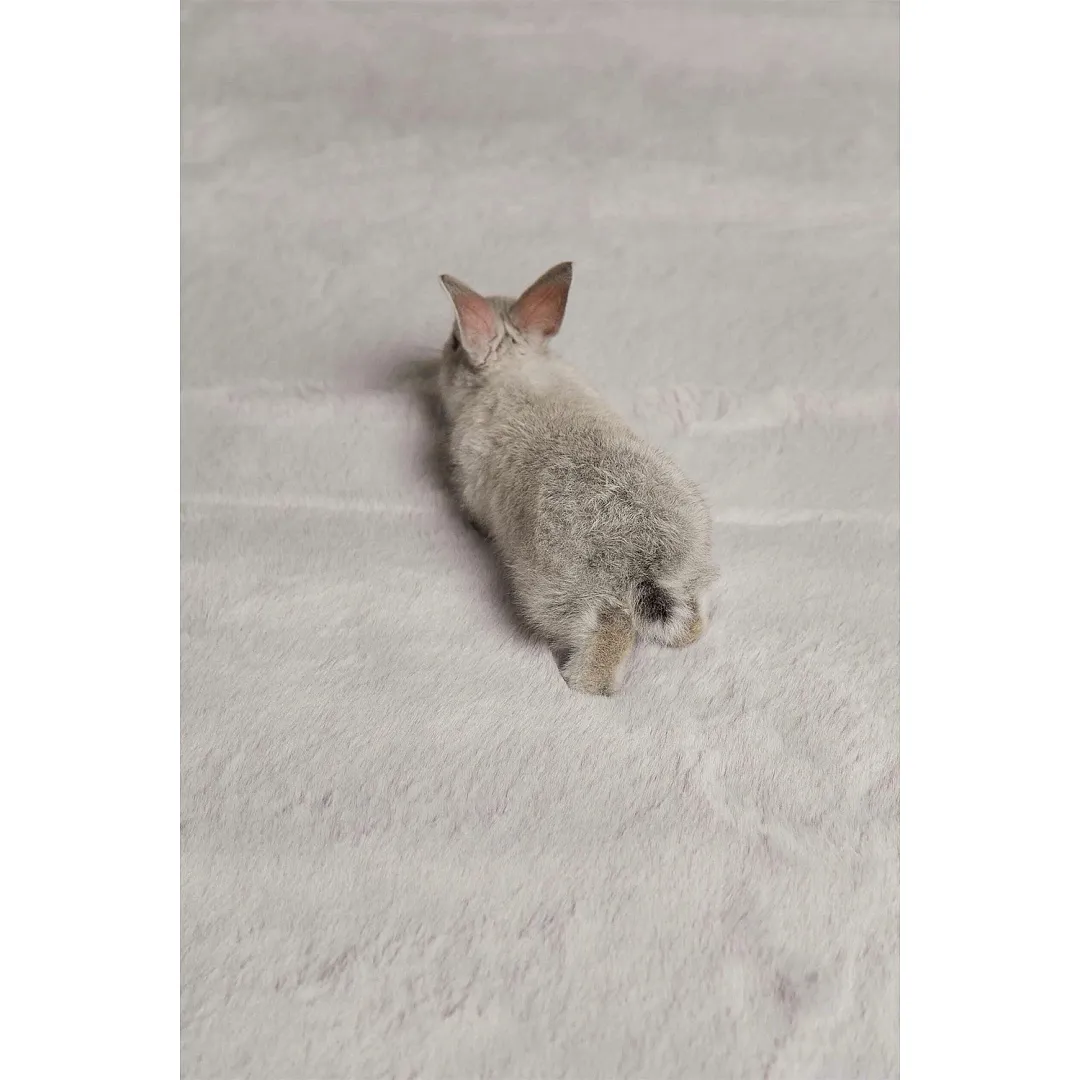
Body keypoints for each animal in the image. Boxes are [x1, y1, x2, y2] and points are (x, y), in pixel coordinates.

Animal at [436, 261, 715, 695]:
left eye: (453, 343)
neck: (512, 364)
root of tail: (645, 563)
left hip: (560, 594)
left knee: (609, 632)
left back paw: (580, 685)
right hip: (689, 569)